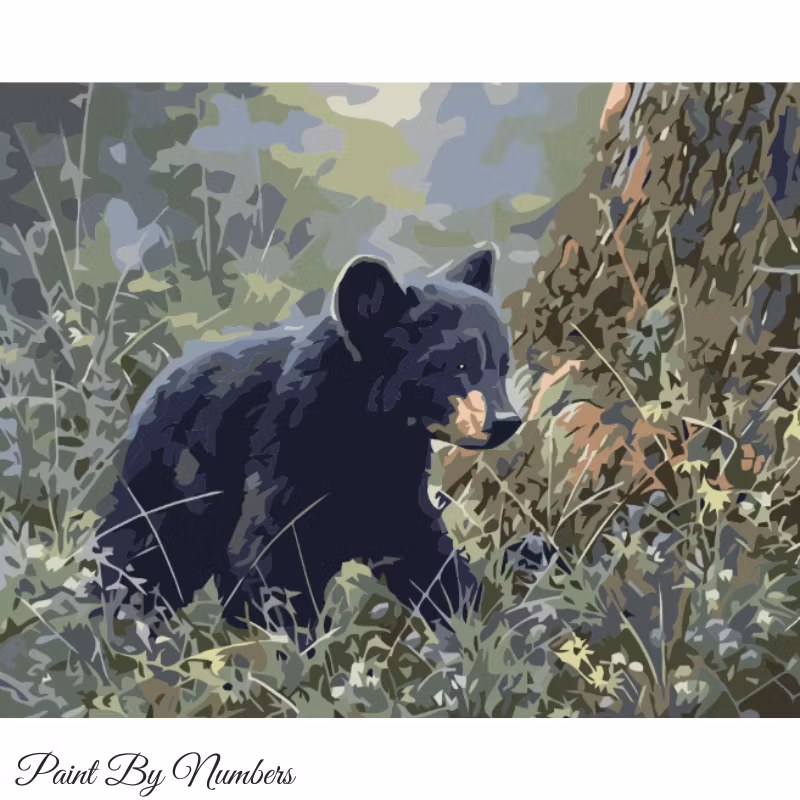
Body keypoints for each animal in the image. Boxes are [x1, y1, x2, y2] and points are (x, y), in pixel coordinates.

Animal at [94, 245, 521, 633]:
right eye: (455, 365)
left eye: (502, 364)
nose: (506, 422)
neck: (372, 431)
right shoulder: (288, 452)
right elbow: (268, 556)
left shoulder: (395, 486)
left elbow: (425, 554)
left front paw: (467, 628)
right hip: (168, 487)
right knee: (141, 560)